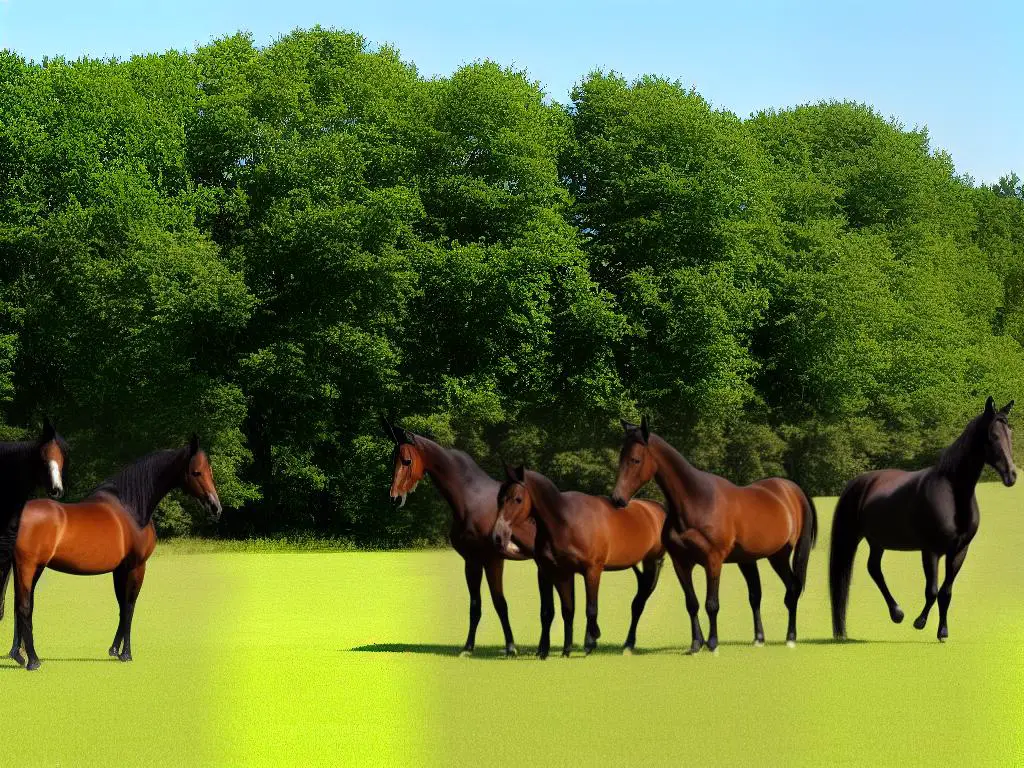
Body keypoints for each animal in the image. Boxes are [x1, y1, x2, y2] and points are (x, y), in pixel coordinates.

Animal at [4, 436, 221, 671]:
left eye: (210, 471)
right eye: (196, 472)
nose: (215, 507)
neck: (131, 507)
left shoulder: (119, 569)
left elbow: (121, 607)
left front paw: (114, 650)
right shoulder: (137, 566)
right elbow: (130, 606)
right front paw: (127, 654)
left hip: (29, 567)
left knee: (18, 605)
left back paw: (18, 655)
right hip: (28, 565)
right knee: (24, 606)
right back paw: (33, 660)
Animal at [382, 417, 536, 659]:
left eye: (406, 460)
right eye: (392, 459)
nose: (395, 498)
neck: (472, 500)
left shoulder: (493, 560)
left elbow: (500, 603)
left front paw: (511, 648)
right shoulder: (472, 561)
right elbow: (475, 605)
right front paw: (467, 648)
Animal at [493, 466, 667, 659]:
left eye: (518, 499)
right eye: (499, 498)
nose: (498, 536)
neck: (565, 522)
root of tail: (657, 508)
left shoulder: (592, 570)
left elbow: (590, 608)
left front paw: (590, 642)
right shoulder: (559, 572)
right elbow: (564, 610)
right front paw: (562, 650)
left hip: (654, 562)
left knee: (639, 603)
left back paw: (626, 645)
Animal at [606, 417, 815, 651]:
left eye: (635, 460)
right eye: (621, 458)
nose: (617, 499)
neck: (698, 501)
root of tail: (791, 490)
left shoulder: (713, 561)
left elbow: (711, 604)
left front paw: (713, 642)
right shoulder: (681, 563)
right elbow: (692, 603)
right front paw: (696, 643)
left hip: (779, 555)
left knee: (792, 588)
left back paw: (790, 637)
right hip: (751, 559)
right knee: (757, 594)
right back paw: (759, 638)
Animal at [831, 397, 1015, 643]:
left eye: (1010, 434)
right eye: (993, 436)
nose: (1012, 475)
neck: (952, 493)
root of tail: (862, 480)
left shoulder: (959, 551)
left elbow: (946, 592)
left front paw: (943, 632)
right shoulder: (931, 550)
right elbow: (932, 590)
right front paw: (919, 622)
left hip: (877, 542)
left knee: (874, 568)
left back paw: (897, 613)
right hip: (859, 537)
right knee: (872, 570)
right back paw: (898, 614)